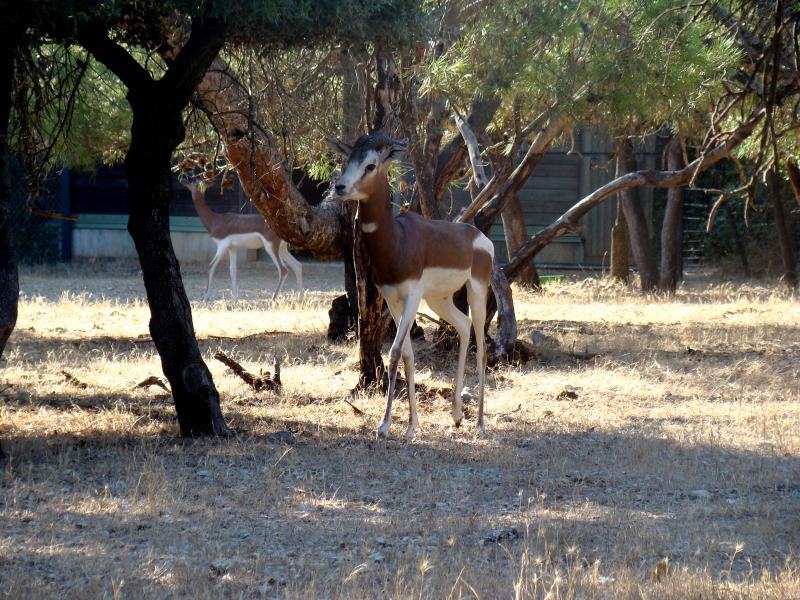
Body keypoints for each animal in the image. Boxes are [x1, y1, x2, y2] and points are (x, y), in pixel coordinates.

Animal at [328, 133, 494, 439]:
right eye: (347, 160)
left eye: (370, 165)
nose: (340, 186)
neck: (397, 240)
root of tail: (478, 236)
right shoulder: (392, 299)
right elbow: (406, 354)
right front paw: (411, 425)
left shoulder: (412, 297)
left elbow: (393, 352)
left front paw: (384, 425)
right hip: (439, 300)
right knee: (463, 326)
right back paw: (456, 415)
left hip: (476, 290)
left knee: (482, 346)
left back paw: (479, 424)